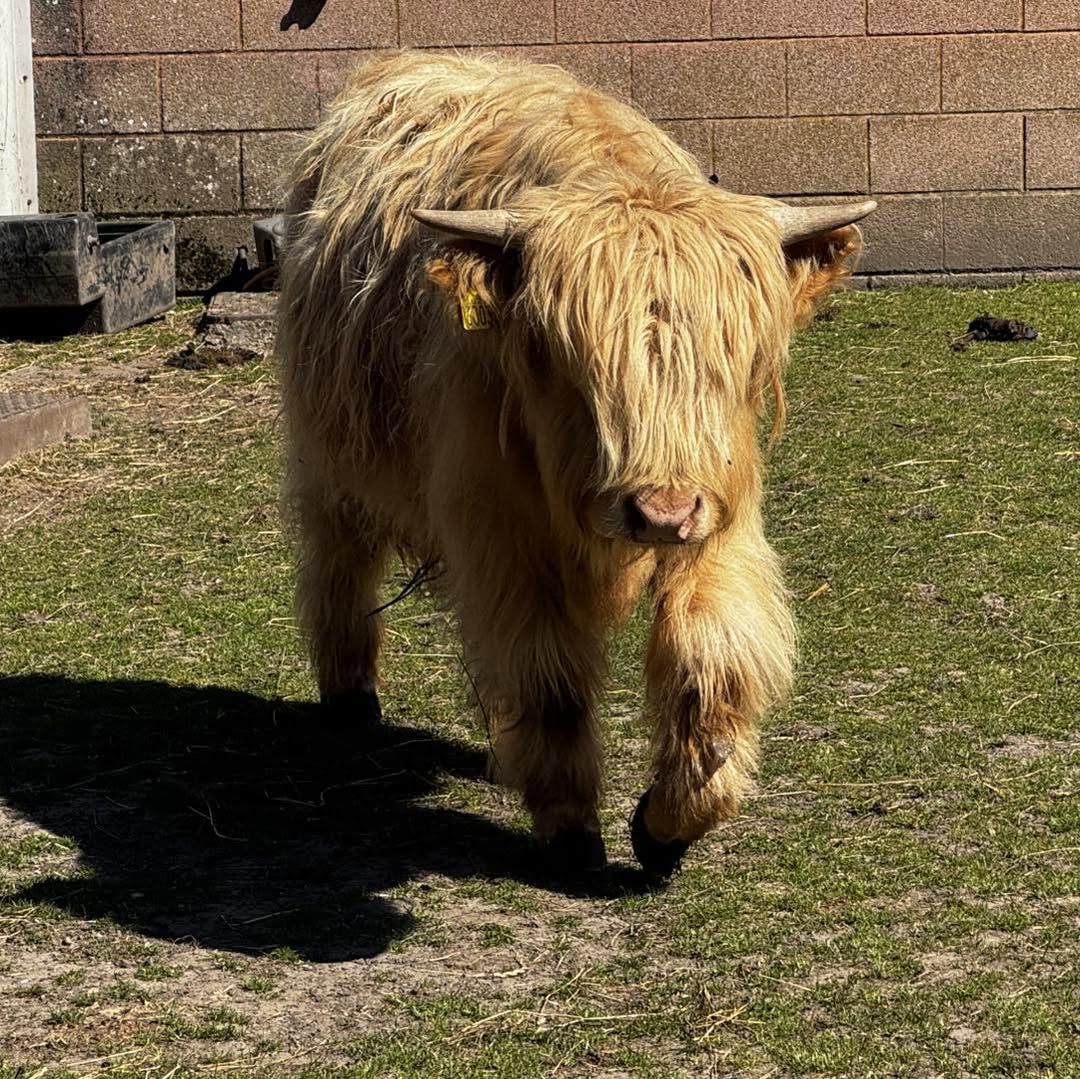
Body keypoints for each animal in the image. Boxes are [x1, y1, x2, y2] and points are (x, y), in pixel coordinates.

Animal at [277, 51, 874, 878]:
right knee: (338, 558)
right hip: (329, 452)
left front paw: (670, 822)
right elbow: (548, 677)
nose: (660, 511)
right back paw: (350, 695)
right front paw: (568, 827)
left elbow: (710, 663)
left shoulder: (718, 517)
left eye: (731, 358)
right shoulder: (503, 530)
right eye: (571, 362)